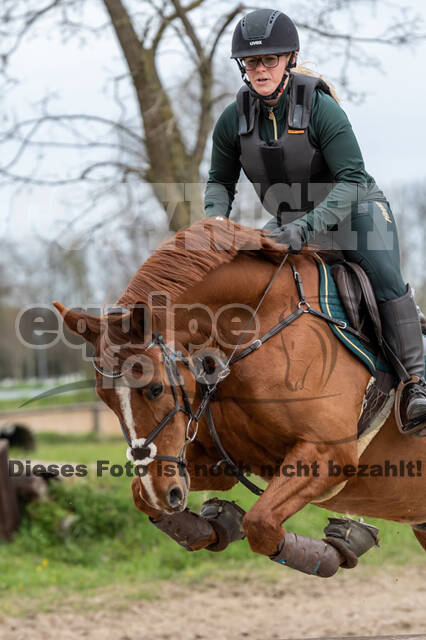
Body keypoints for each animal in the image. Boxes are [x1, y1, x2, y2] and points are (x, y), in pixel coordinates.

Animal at [53, 219, 426, 576]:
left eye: (155, 388)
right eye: (105, 399)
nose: (163, 491)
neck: (257, 326)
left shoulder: (328, 452)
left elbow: (261, 525)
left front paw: (344, 543)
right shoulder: (222, 462)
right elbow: (140, 495)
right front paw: (217, 523)